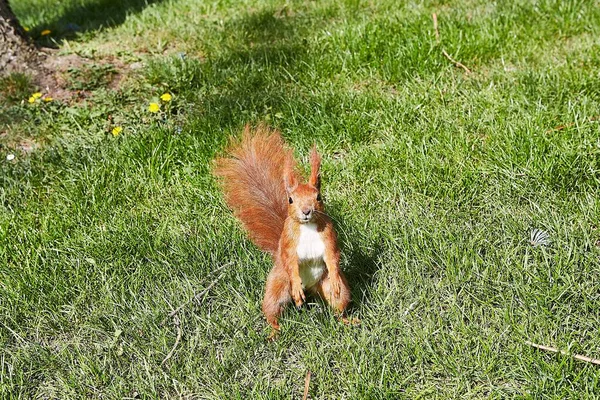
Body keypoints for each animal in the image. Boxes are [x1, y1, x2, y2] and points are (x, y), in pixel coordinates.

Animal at [213, 123, 352, 332]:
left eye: (318, 197)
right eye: (291, 200)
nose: (306, 211)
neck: (307, 226)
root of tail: (311, 288)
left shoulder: (329, 236)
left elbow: (333, 256)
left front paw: (336, 275)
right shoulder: (288, 242)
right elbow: (291, 260)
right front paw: (296, 283)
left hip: (328, 286)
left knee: (338, 304)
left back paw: (347, 320)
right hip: (278, 286)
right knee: (272, 309)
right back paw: (275, 330)